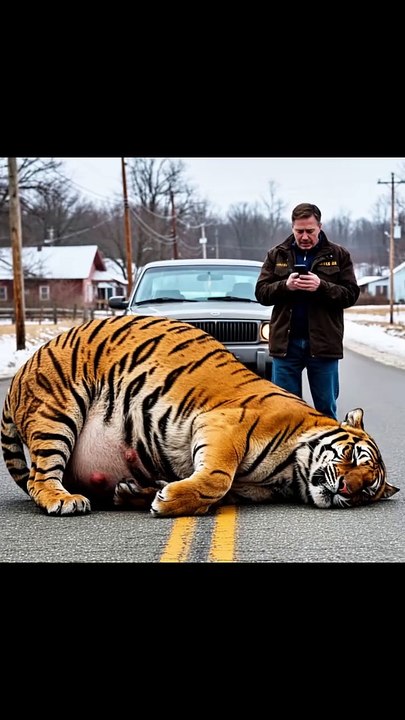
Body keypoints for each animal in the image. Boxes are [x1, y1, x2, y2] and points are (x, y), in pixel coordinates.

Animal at [1, 314, 399, 517]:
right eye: (351, 457)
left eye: (368, 488)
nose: (347, 488)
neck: (290, 476)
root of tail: (23, 369)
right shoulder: (223, 427)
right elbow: (216, 480)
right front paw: (165, 501)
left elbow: (215, 495)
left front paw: (139, 493)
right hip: (56, 414)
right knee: (39, 478)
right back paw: (64, 500)